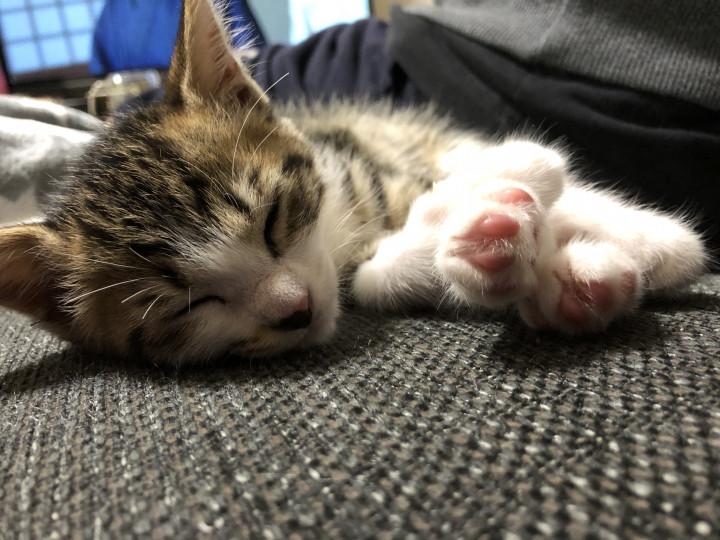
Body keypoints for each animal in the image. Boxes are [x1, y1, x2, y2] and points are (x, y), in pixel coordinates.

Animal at [0, 0, 707, 365]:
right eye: (187, 306)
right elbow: (374, 277)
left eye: (274, 217)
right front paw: (493, 247)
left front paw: (651, 243)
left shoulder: (368, 155)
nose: (297, 310)